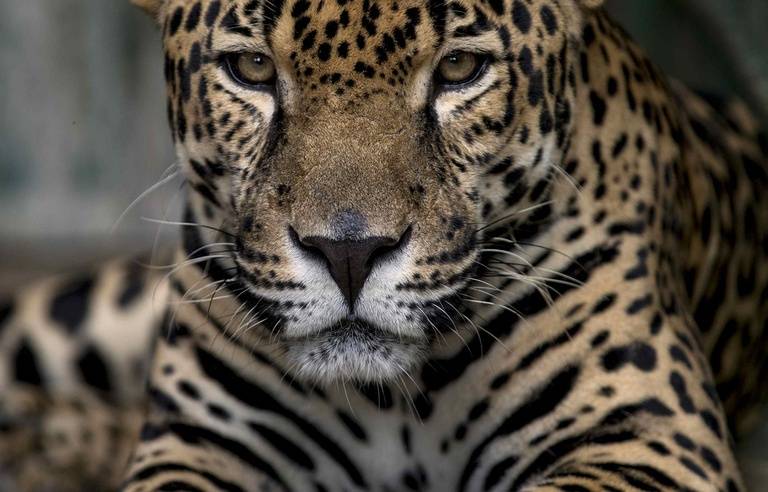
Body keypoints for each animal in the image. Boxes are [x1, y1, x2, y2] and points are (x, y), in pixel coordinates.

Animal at [1, 0, 767, 490]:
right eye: (252, 69)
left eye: (459, 68)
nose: (349, 253)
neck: (395, 398)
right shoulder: (203, 443)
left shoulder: (649, 435)